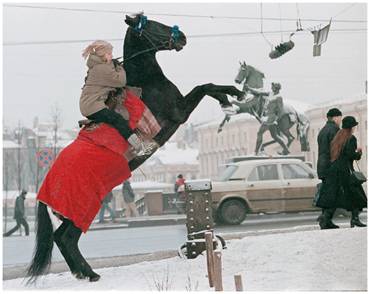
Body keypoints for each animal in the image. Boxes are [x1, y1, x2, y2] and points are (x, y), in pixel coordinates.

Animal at [27, 13, 244, 282]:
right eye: (151, 24)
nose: (182, 37)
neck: (144, 80)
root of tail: (43, 189)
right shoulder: (180, 111)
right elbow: (205, 86)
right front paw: (231, 95)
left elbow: (206, 86)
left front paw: (230, 97)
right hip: (84, 208)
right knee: (67, 238)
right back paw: (90, 273)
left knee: (61, 237)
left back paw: (82, 273)